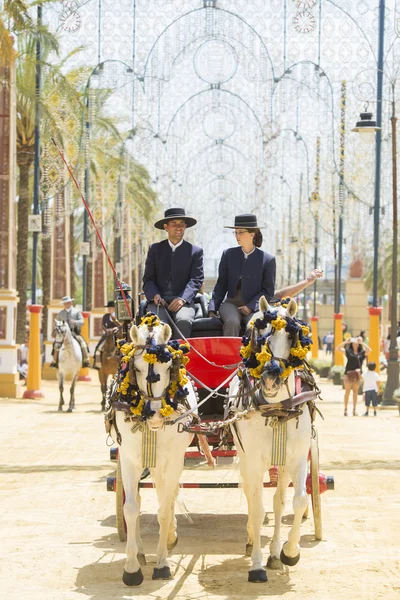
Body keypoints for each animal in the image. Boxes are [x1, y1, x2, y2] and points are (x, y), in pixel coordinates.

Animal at [108, 314, 197, 584]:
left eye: (169, 368)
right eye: (136, 368)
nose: (155, 416)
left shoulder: (174, 460)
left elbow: (164, 509)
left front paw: (162, 563)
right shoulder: (128, 459)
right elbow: (130, 508)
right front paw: (131, 568)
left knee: (165, 497)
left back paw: (168, 538)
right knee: (137, 499)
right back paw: (138, 552)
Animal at [228, 298, 318, 584]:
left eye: (291, 336)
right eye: (260, 333)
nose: (271, 377)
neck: (277, 408)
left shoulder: (297, 459)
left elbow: (298, 501)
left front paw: (289, 552)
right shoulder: (254, 462)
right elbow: (257, 508)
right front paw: (256, 565)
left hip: (283, 465)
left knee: (279, 502)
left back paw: (276, 553)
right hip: (246, 460)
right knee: (250, 496)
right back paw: (251, 541)